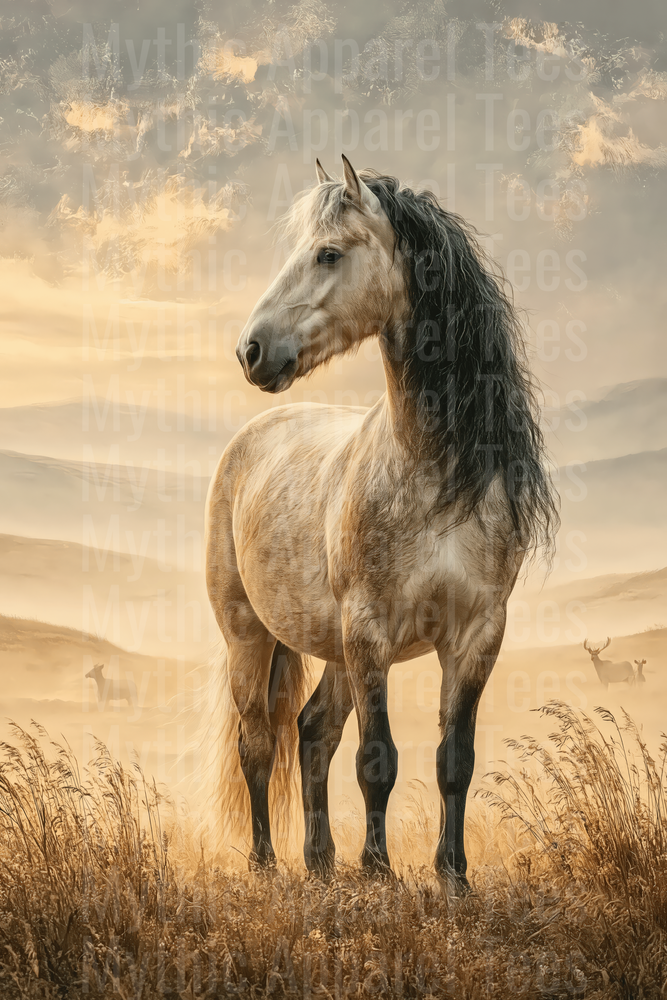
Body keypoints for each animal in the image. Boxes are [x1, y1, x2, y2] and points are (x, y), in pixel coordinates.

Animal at [201, 156, 558, 888]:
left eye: (329, 254)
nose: (251, 351)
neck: (432, 481)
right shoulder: (370, 632)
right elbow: (378, 759)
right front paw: (378, 870)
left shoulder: (476, 636)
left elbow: (454, 760)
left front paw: (452, 876)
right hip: (250, 636)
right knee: (259, 742)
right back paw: (265, 864)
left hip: (334, 648)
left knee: (312, 732)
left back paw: (319, 863)